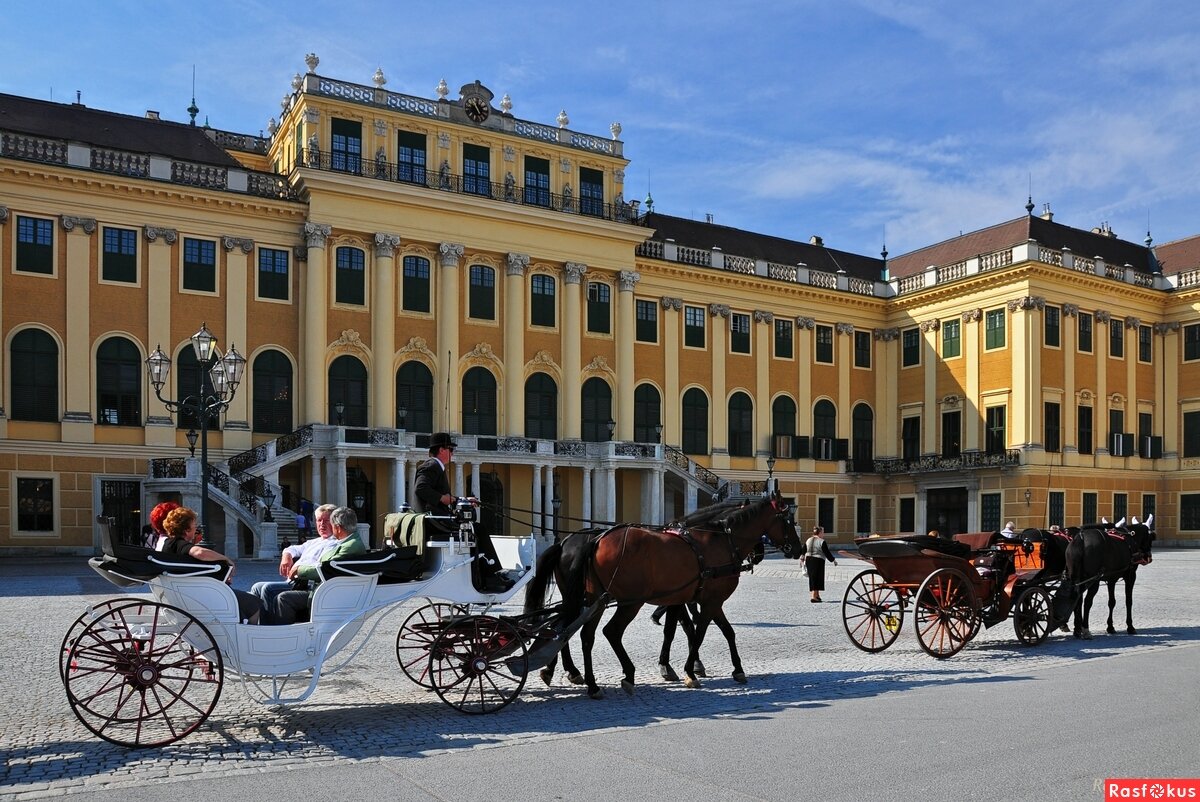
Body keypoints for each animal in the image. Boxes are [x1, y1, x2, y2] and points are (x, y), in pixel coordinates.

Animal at [523, 497, 796, 696]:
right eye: (788, 520)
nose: (797, 548)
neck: (718, 542)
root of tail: (590, 541)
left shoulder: (694, 600)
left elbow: (719, 632)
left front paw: (735, 669)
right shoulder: (707, 601)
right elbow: (696, 633)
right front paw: (690, 670)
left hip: (592, 600)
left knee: (578, 633)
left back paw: (584, 680)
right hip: (628, 602)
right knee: (607, 632)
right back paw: (620, 674)